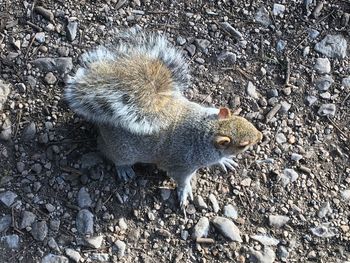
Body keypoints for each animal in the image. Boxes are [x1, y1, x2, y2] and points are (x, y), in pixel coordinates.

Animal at [65, 27, 262, 208]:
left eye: (243, 119)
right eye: (243, 145)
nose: (260, 136)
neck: (207, 130)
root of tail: (103, 124)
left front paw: (224, 161)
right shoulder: (182, 164)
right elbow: (181, 179)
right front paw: (185, 191)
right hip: (120, 150)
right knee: (106, 151)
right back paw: (123, 168)